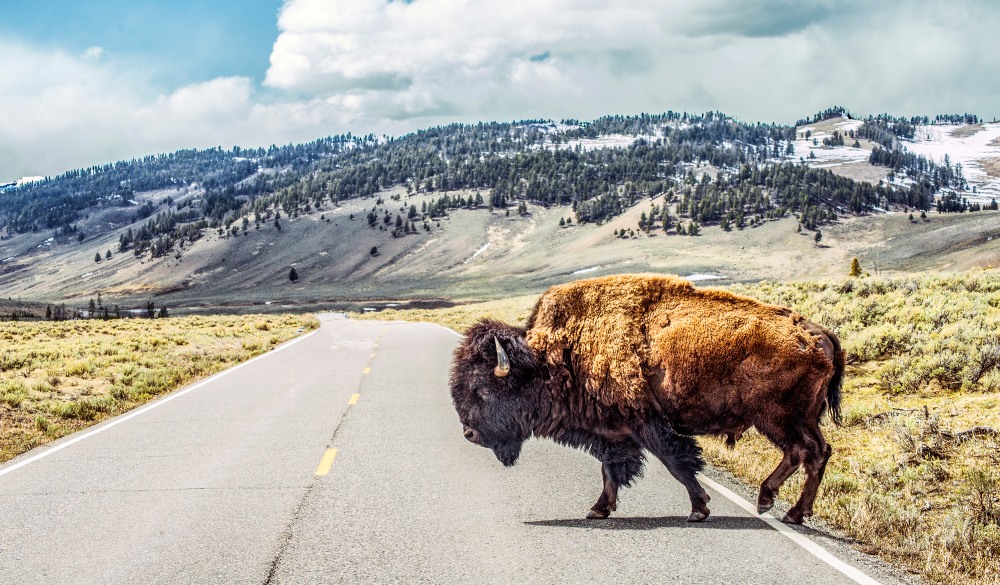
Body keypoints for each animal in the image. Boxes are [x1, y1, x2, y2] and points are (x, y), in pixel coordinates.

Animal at [454, 274, 844, 524]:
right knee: (817, 453)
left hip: (777, 418)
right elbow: (610, 469)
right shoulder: (612, 431)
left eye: (484, 389)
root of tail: (819, 332)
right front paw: (598, 509)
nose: (469, 434)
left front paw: (699, 509)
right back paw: (790, 511)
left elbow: (675, 462)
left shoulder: (647, 423)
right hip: (802, 418)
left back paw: (774, 505)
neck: (557, 355)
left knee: (802, 451)